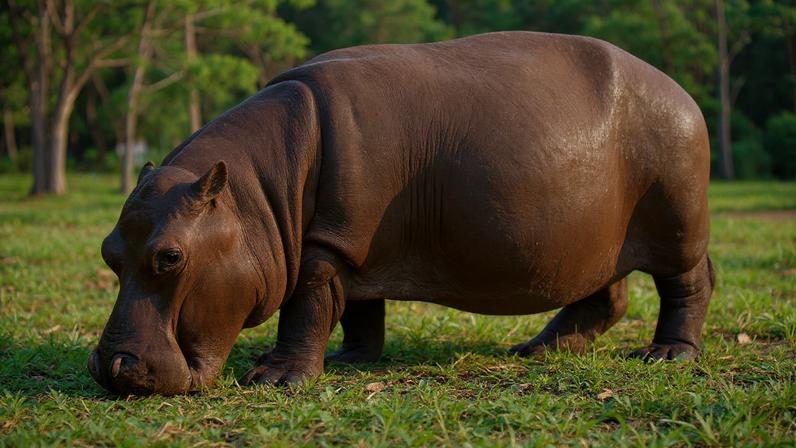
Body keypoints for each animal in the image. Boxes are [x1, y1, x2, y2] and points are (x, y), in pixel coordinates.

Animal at [88, 31, 714, 395]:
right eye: (108, 252)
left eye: (171, 257)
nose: (113, 368)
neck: (256, 196)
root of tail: (681, 90)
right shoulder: (348, 247)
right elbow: (356, 310)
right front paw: (348, 359)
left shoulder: (326, 244)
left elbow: (307, 307)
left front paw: (275, 377)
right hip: (591, 237)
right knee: (604, 294)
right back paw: (538, 348)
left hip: (678, 223)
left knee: (689, 283)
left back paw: (665, 356)